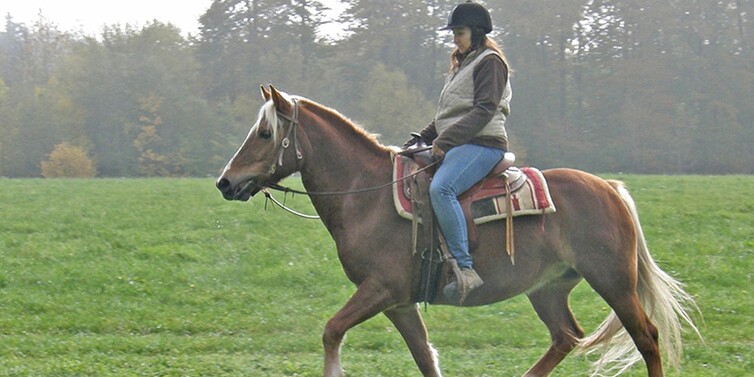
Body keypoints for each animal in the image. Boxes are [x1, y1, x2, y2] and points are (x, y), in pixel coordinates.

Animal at [214, 86, 696, 376]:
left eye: (264, 133)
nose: (225, 182)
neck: (366, 194)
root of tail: (610, 188)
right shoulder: (399, 303)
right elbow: (424, 356)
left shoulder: (380, 290)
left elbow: (332, 331)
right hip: (548, 287)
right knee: (564, 336)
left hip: (613, 281)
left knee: (646, 337)